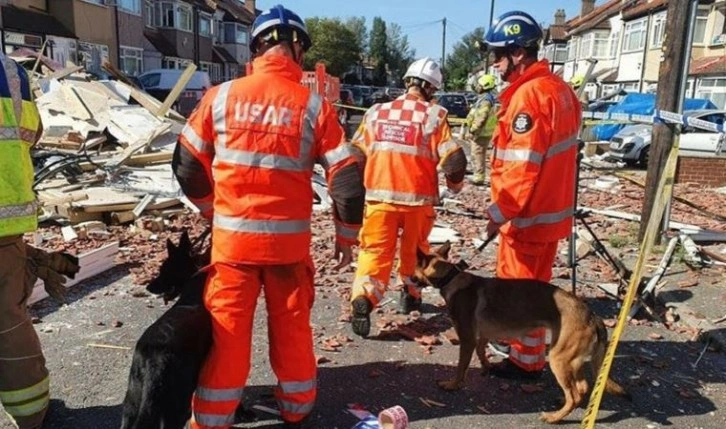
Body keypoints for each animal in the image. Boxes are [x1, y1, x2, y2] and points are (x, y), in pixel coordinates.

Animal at [416, 242, 632, 422]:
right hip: (572, 360)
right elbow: (481, 351)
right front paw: (487, 367)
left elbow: (461, 367)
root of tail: (592, 315)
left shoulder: (467, 339)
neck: (450, 277)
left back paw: (554, 417)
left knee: (575, 395)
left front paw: (453, 384)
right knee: (582, 387)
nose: (408, 279)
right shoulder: (482, 335)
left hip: (559, 358)